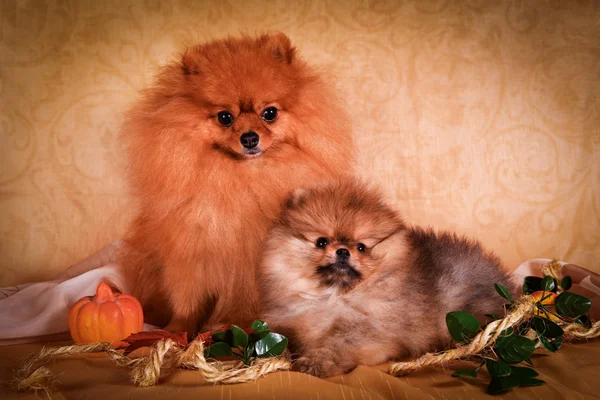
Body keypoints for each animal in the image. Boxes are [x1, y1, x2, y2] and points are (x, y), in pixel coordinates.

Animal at [120, 33, 354, 334]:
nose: (250, 138)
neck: (242, 180)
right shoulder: (190, 254)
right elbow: (187, 298)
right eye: (225, 117)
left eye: (269, 113)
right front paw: (177, 329)